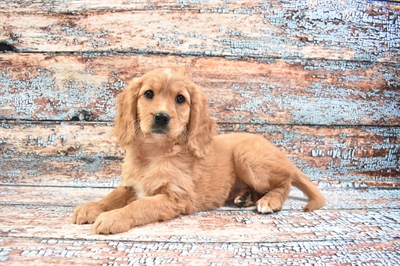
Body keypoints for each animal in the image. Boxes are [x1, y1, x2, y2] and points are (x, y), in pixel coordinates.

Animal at [72, 67, 324, 234]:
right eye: (148, 94)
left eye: (180, 99)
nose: (161, 117)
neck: (156, 153)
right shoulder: (131, 186)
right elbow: (113, 195)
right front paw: (92, 207)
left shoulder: (177, 197)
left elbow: (141, 204)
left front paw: (114, 217)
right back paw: (245, 197)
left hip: (248, 157)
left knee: (285, 182)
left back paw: (269, 200)